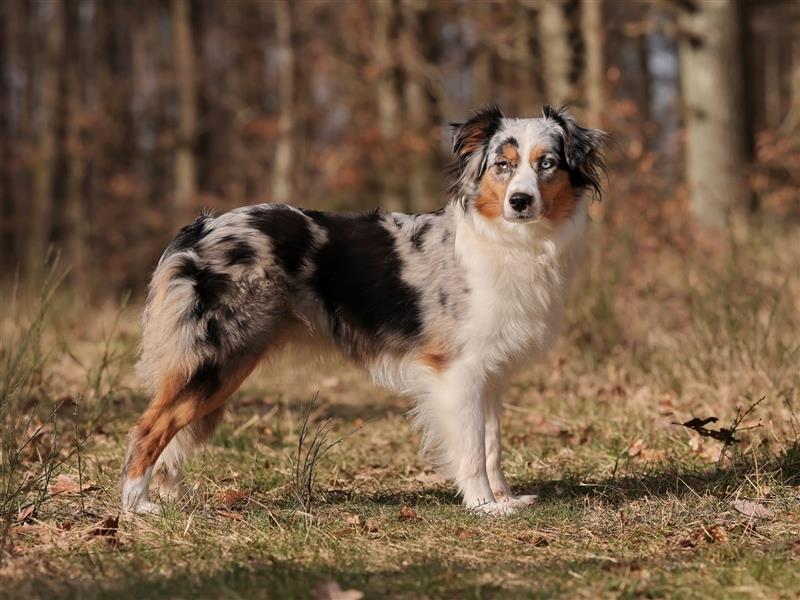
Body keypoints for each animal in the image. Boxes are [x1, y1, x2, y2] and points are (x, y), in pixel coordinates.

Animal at [120, 104, 608, 516]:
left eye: (547, 163)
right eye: (502, 166)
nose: (520, 201)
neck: (511, 242)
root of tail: (200, 227)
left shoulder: (490, 373)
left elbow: (491, 444)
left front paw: (505, 499)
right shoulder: (459, 369)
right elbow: (470, 448)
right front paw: (483, 505)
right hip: (218, 360)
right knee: (149, 427)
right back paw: (137, 505)